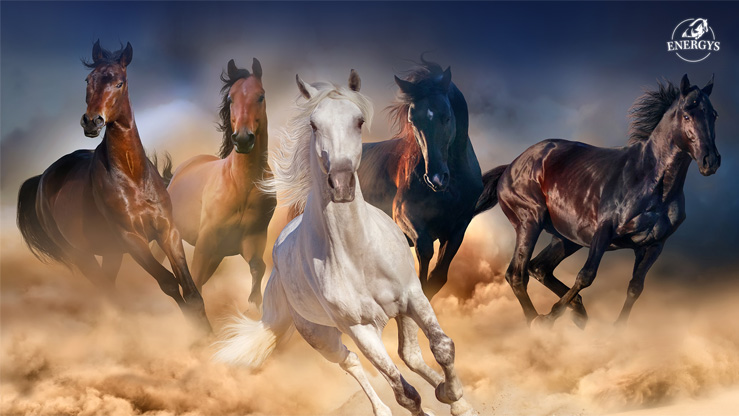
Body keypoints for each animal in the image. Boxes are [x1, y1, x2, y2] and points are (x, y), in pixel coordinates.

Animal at [16, 41, 209, 330]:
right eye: (88, 80)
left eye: (120, 82)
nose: (91, 121)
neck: (133, 176)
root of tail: (42, 179)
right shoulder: (131, 238)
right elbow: (168, 283)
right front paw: (196, 335)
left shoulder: (167, 232)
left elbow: (191, 289)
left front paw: (209, 334)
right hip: (80, 255)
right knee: (107, 291)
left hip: (110, 253)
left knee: (109, 287)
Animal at [162, 58, 275, 307]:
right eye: (231, 98)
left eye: (261, 96)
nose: (243, 138)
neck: (241, 185)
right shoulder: (206, 243)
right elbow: (194, 284)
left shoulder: (251, 241)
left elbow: (258, 268)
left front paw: (254, 305)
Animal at [214, 71, 475, 416]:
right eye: (313, 124)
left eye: (359, 121)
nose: (340, 184)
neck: (358, 254)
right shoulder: (360, 329)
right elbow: (404, 392)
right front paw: (440, 401)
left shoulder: (413, 296)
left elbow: (442, 346)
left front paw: (457, 399)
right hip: (321, 335)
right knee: (351, 363)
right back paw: (387, 408)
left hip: (398, 313)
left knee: (410, 354)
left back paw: (446, 393)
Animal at [474, 74, 720, 328]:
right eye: (687, 115)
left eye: (713, 114)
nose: (710, 161)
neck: (652, 183)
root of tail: (510, 166)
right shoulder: (604, 231)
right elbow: (586, 275)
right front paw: (551, 317)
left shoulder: (653, 245)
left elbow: (635, 287)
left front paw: (616, 329)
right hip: (529, 222)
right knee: (517, 273)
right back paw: (538, 321)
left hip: (566, 238)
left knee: (539, 268)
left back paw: (577, 311)